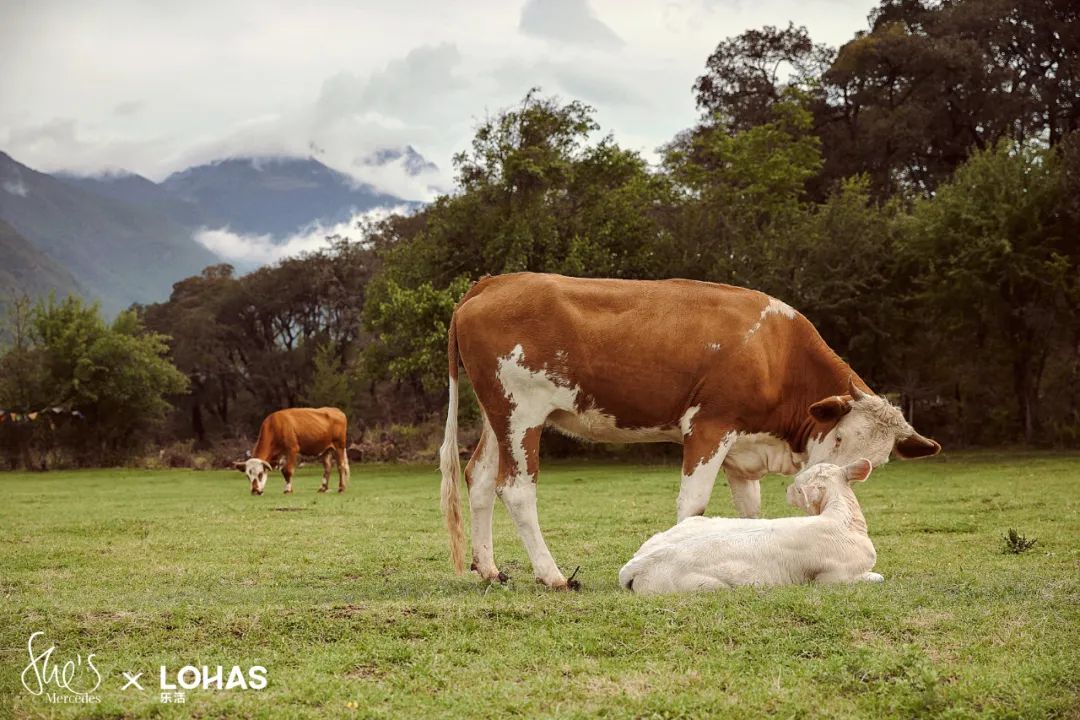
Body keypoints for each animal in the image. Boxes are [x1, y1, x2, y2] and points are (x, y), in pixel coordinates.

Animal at [622, 462, 881, 595]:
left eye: (798, 487)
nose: (786, 489)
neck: (843, 520)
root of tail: (636, 565)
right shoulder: (833, 577)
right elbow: (878, 577)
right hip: (703, 586)